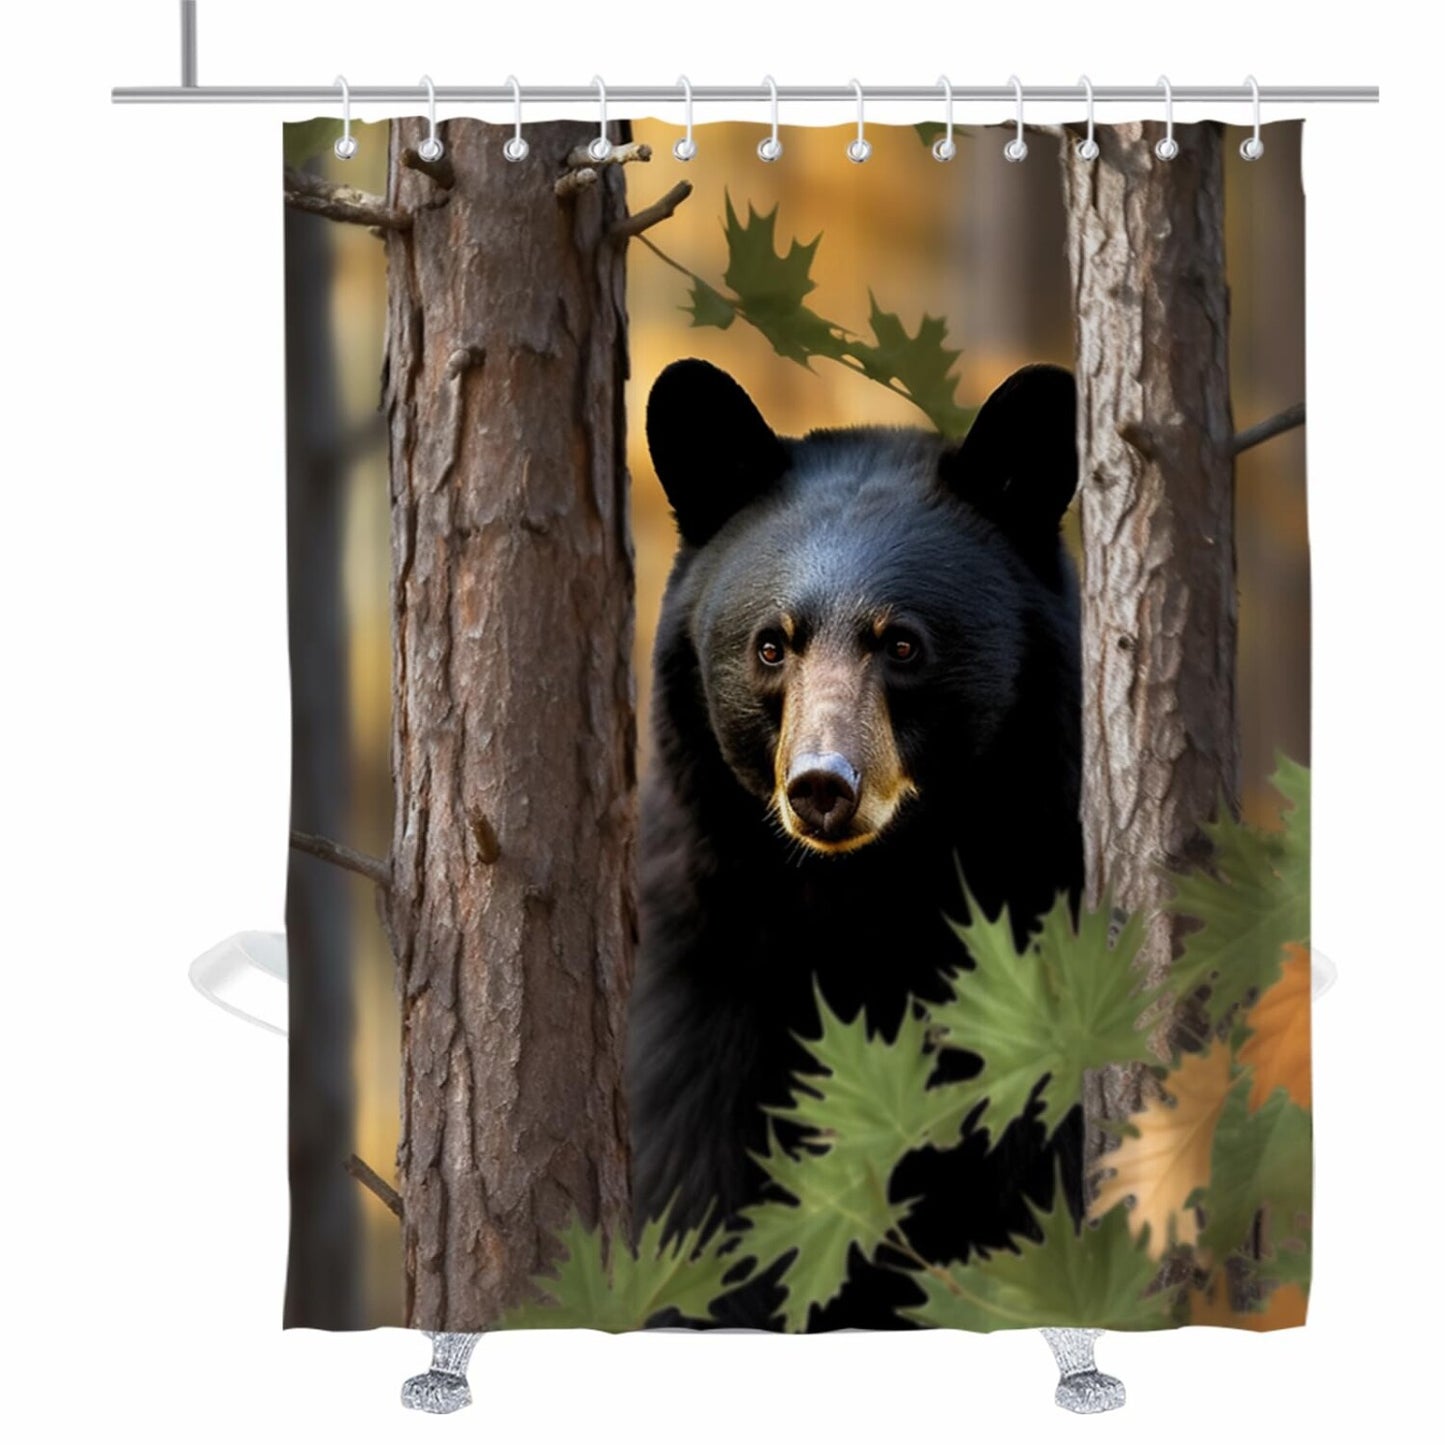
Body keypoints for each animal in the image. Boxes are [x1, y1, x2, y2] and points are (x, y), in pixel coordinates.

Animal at [627, 358, 1085, 1330]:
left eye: (902, 643)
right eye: (770, 645)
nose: (821, 786)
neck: (866, 913)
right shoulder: (707, 977)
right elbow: (696, 1205)